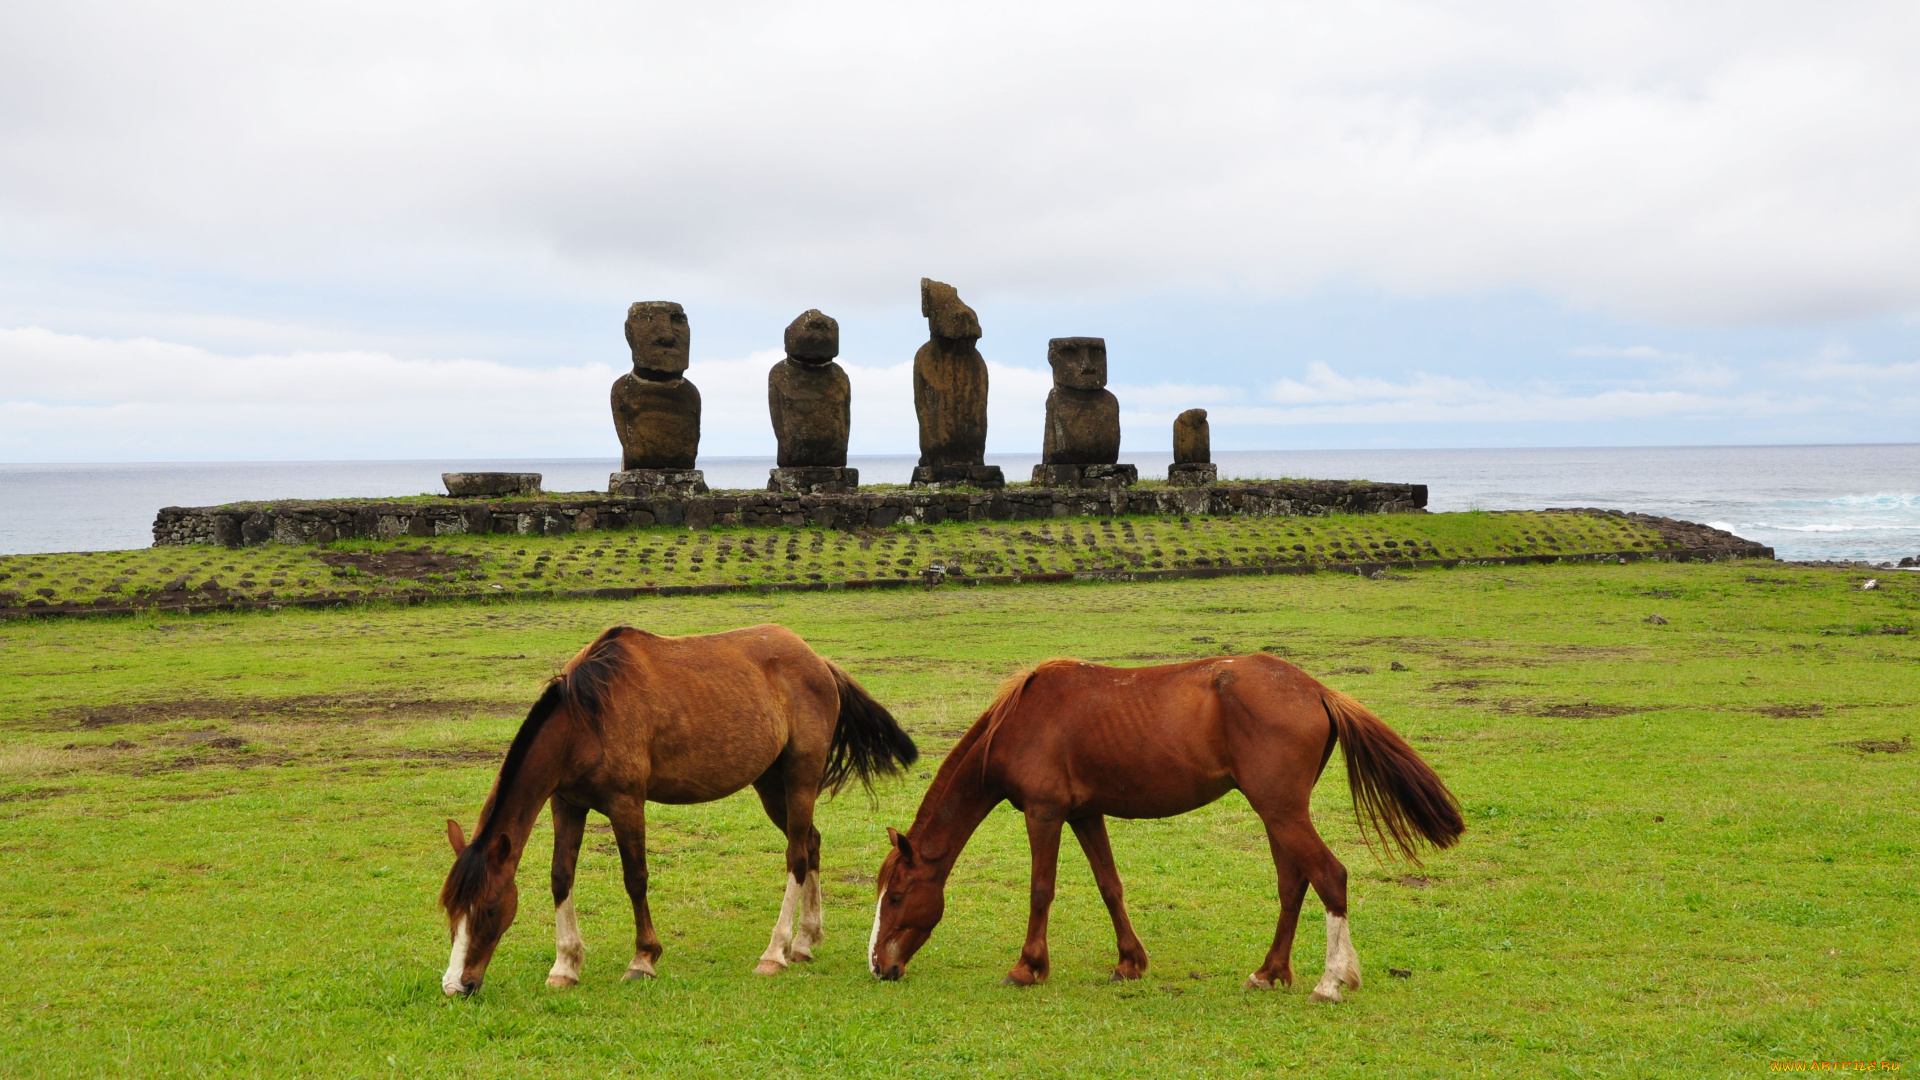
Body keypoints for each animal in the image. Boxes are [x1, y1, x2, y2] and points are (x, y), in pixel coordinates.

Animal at [439, 622, 913, 991]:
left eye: (489, 908)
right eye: (451, 910)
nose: (456, 985)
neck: (586, 717)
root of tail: (818, 661)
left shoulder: (626, 803)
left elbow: (635, 879)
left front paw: (643, 959)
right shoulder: (566, 803)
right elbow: (561, 877)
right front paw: (565, 965)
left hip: (800, 776)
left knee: (797, 855)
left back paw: (776, 951)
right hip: (770, 783)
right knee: (811, 842)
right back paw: (805, 941)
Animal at [867, 653, 1451, 999]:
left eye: (896, 896)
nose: (877, 966)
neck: (1021, 720)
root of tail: (1315, 690)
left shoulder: (1044, 812)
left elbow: (1041, 890)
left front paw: (1027, 967)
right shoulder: (1084, 813)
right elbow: (1110, 886)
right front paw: (1129, 962)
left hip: (1282, 812)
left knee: (1330, 877)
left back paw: (1332, 980)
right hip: (1279, 815)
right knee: (1293, 885)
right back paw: (1270, 971)